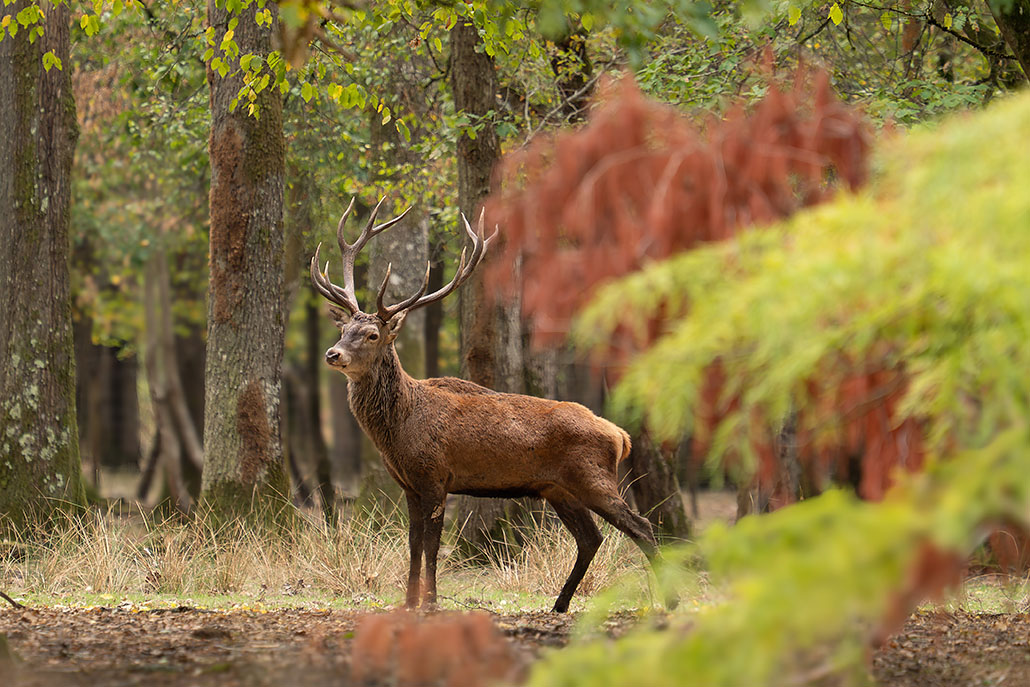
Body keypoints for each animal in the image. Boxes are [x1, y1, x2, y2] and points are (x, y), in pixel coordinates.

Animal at [309, 197, 661, 613]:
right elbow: (412, 545)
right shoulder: (409, 484)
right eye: (343, 329)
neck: (399, 431)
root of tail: (620, 436)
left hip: (593, 476)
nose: (332, 354)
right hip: (558, 488)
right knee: (591, 537)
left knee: (642, 527)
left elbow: (432, 545)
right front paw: (408, 603)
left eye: (371, 334)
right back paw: (559, 605)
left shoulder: (435, 476)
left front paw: (430, 602)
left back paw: (670, 599)